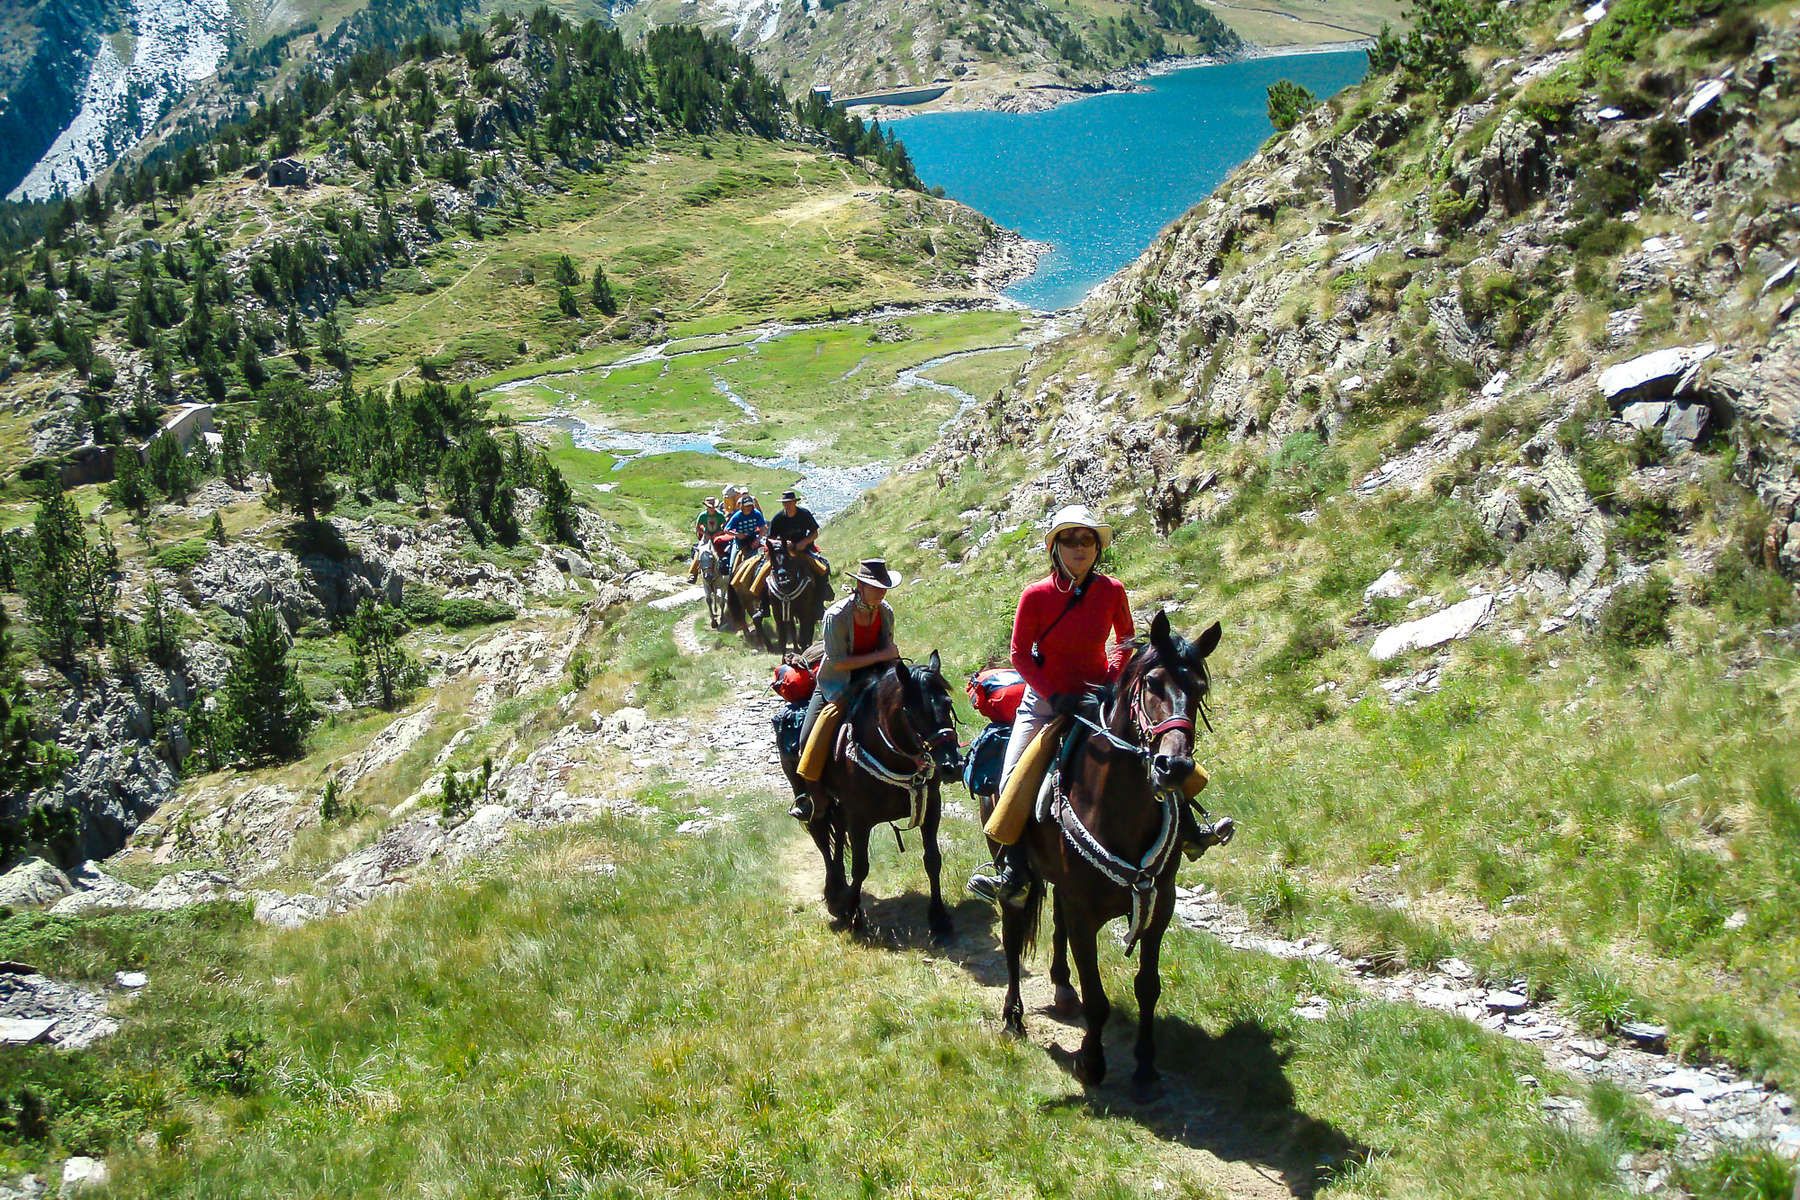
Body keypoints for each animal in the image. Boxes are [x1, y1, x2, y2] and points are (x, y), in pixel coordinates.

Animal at [781, 658, 964, 935]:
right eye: (912, 712)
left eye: (948, 703)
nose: (952, 766)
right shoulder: (859, 819)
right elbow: (860, 867)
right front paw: (852, 913)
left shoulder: (932, 807)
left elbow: (932, 859)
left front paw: (939, 919)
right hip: (813, 800)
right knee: (822, 839)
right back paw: (834, 893)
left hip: (840, 808)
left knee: (836, 839)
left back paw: (838, 893)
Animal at [986, 615, 1224, 1093]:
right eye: (1152, 683)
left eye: (1199, 688)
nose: (1174, 767)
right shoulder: (1085, 914)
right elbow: (1097, 999)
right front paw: (1092, 1064)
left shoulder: (1160, 905)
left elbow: (1148, 986)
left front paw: (1146, 1067)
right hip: (1013, 874)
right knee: (1012, 935)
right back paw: (1013, 1020)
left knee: (1054, 923)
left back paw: (1062, 989)